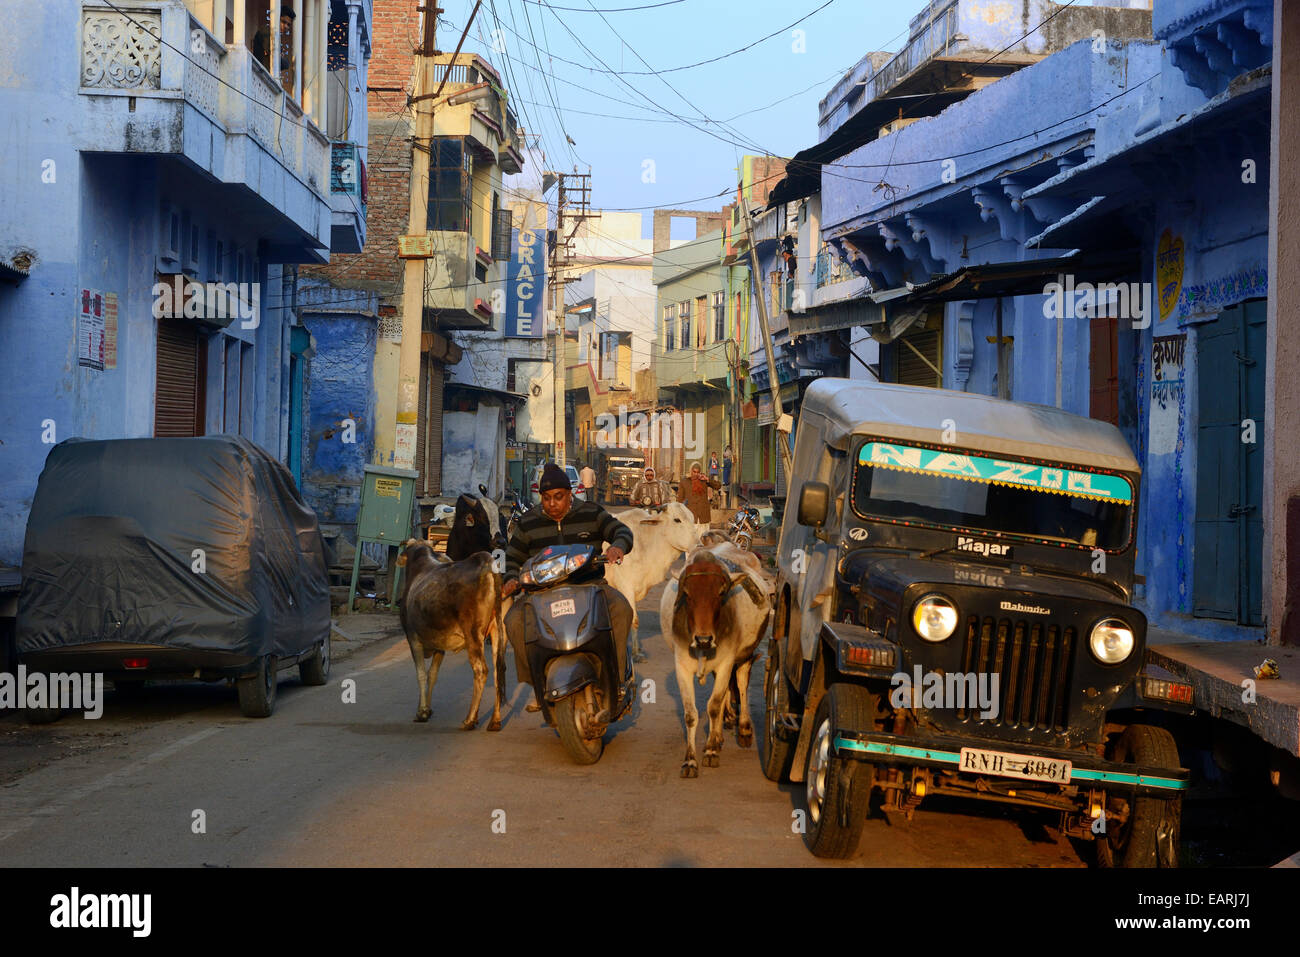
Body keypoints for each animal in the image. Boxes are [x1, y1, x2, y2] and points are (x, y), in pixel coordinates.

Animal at [392, 535, 504, 728]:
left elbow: (421, 674)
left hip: (473, 635)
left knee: (481, 670)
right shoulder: (440, 645)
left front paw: (421, 712)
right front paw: (426, 709)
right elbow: (432, 675)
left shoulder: (413, 639)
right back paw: (494, 721)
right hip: (497, 630)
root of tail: (486, 562)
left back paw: (470, 719)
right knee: (498, 670)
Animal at [605, 501, 707, 657]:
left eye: (691, 518)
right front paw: (635, 653)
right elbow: (634, 620)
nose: (699, 546)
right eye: (677, 520)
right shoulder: (626, 587)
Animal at [660, 546, 769, 780]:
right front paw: (690, 761)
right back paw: (719, 735)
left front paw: (710, 750)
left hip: (745, 655)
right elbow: (691, 714)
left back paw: (743, 729)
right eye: (687, 594)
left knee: (741, 683)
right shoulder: (682, 666)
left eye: (720, 593)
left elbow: (714, 706)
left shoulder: (726, 662)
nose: (704, 639)